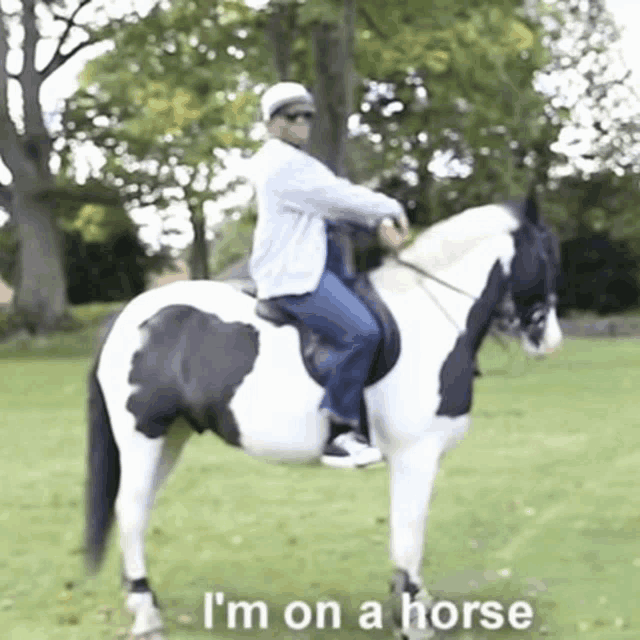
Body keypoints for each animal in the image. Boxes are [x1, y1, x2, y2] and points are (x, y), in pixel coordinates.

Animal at [87, 196, 564, 640]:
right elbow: (408, 535)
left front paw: (420, 607)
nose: (550, 340)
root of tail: (127, 317)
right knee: (130, 509)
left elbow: (412, 536)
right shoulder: (415, 456)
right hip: (143, 435)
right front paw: (412, 619)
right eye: (546, 253)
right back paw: (146, 614)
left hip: (171, 437)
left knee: (138, 509)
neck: (430, 320)